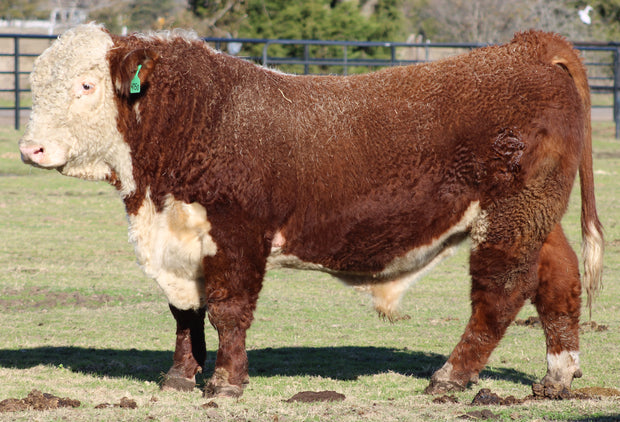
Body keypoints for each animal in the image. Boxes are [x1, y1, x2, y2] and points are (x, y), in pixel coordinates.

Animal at [19, 24, 604, 398]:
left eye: (86, 85)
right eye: (35, 84)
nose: (31, 149)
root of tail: (525, 48)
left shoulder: (238, 234)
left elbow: (229, 310)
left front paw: (226, 384)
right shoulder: (178, 243)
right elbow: (186, 312)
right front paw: (180, 377)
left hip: (508, 217)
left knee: (500, 292)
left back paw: (450, 377)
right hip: (536, 217)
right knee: (557, 278)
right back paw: (558, 377)